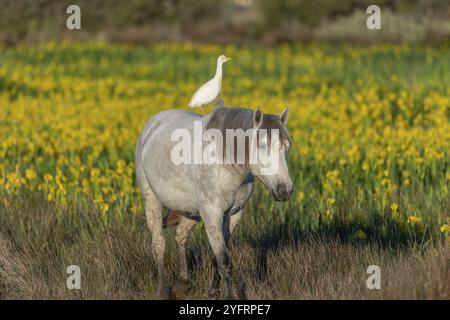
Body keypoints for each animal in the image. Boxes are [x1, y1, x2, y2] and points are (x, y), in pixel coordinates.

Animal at [135, 100, 294, 300]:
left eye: (287, 146)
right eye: (262, 146)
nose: (284, 190)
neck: (226, 164)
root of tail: (153, 123)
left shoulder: (232, 215)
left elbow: (217, 255)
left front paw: (212, 292)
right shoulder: (212, 215)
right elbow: (224, 259)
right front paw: (228, 296)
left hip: (191, 211)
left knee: (181, 235)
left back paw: (183, 283)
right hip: (152, 201)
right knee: (158, 245)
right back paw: (163, 291)